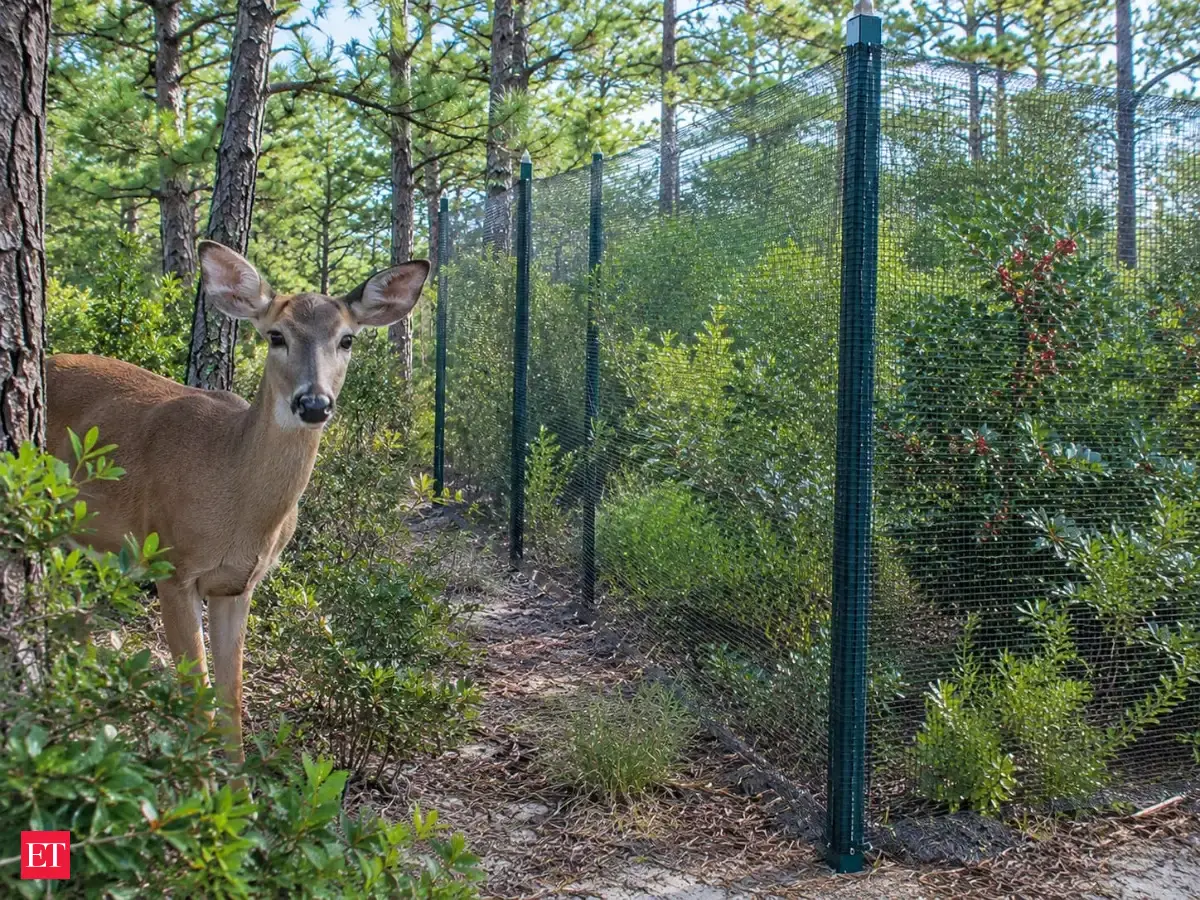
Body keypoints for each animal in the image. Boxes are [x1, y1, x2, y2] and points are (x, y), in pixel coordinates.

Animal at [46, 240, 429, 763]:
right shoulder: (172, 567)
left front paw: (239, 784)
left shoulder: (239, 584)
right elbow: (198, 702)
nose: (314, 403)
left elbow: (231, 702)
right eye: (275, 336)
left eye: (347, 339)